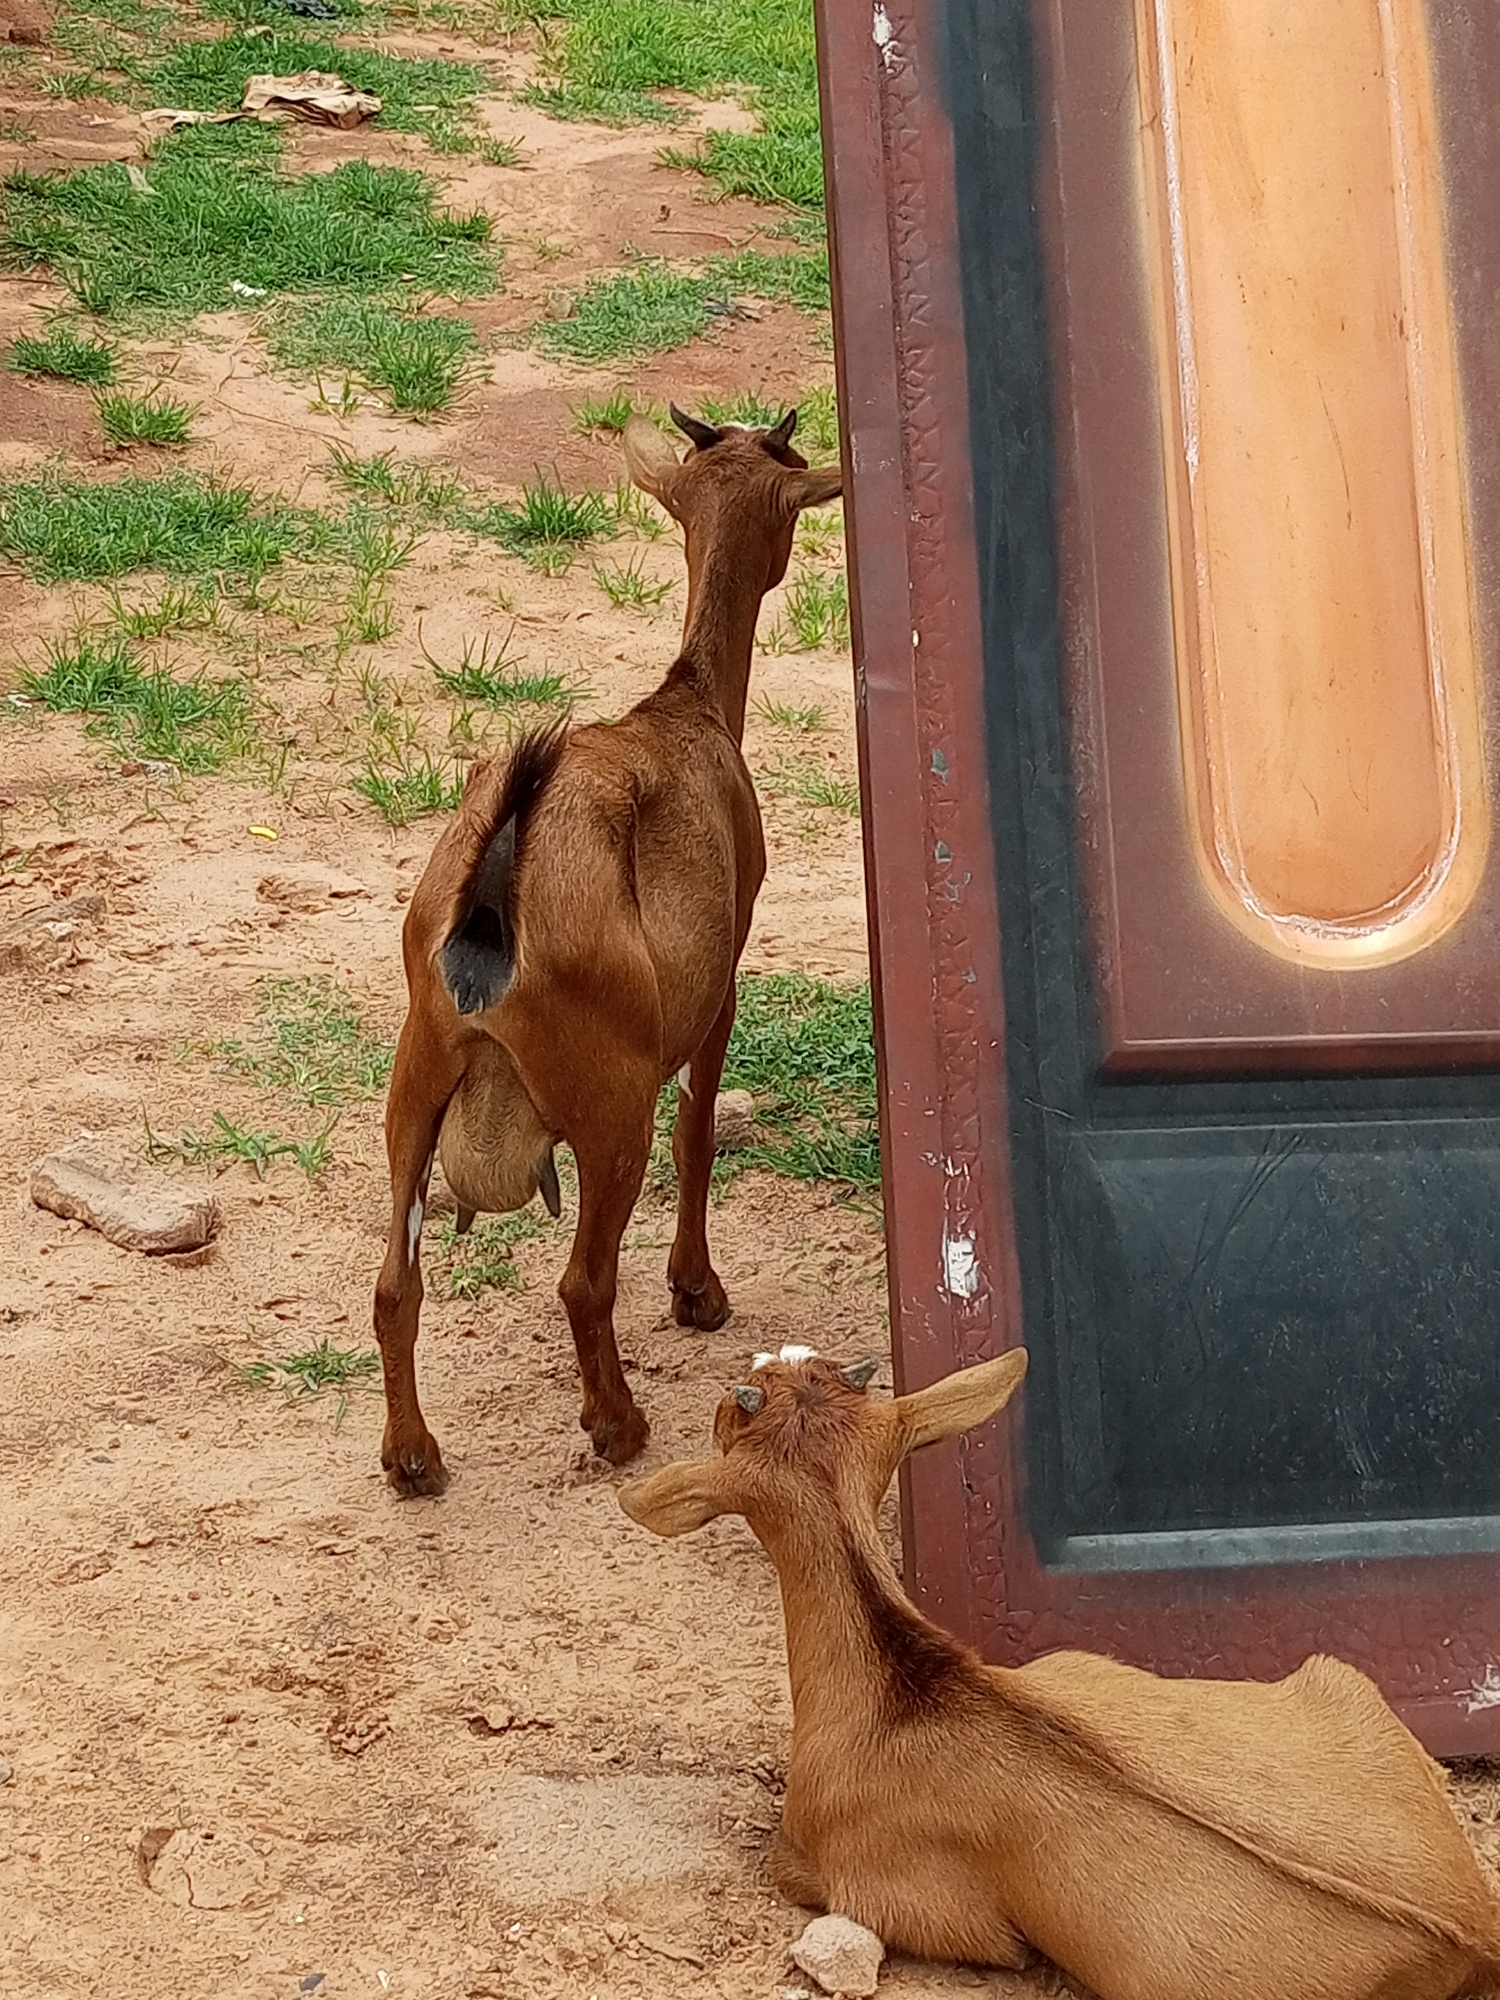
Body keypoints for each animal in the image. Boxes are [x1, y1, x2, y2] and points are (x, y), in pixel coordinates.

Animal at [372, 410, 842, 1495]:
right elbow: (699, 1129)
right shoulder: (722, 976)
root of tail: (496, 880)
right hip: (607, 1094)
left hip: (416, 1072)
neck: (686, 705)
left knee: (392, 1284)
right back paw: (618, 1424)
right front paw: (696, 1292)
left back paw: (413, 1455)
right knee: (584, 1278)